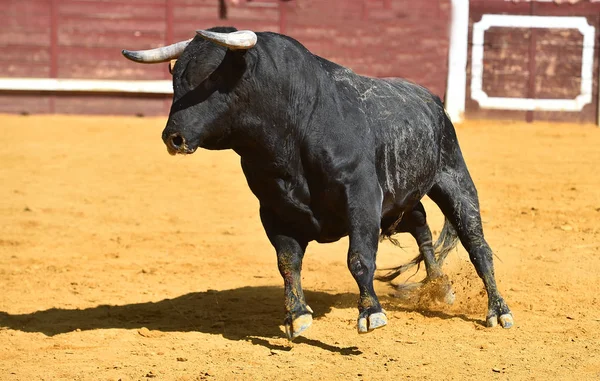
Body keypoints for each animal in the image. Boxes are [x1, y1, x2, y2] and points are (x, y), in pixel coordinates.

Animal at [123, 28, 516, 340]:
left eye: (212, 81)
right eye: (176, 81)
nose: (173, 137)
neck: (292, 125)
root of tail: (433, 101)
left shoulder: (362, 197)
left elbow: (359, 258)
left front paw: (370, 313)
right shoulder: (275, 210)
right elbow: (287, 262)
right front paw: (296, 316)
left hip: (454, 179)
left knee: (477, 245)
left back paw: (498, 311)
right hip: (401, 200)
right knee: (422, 226)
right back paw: (438, 286)